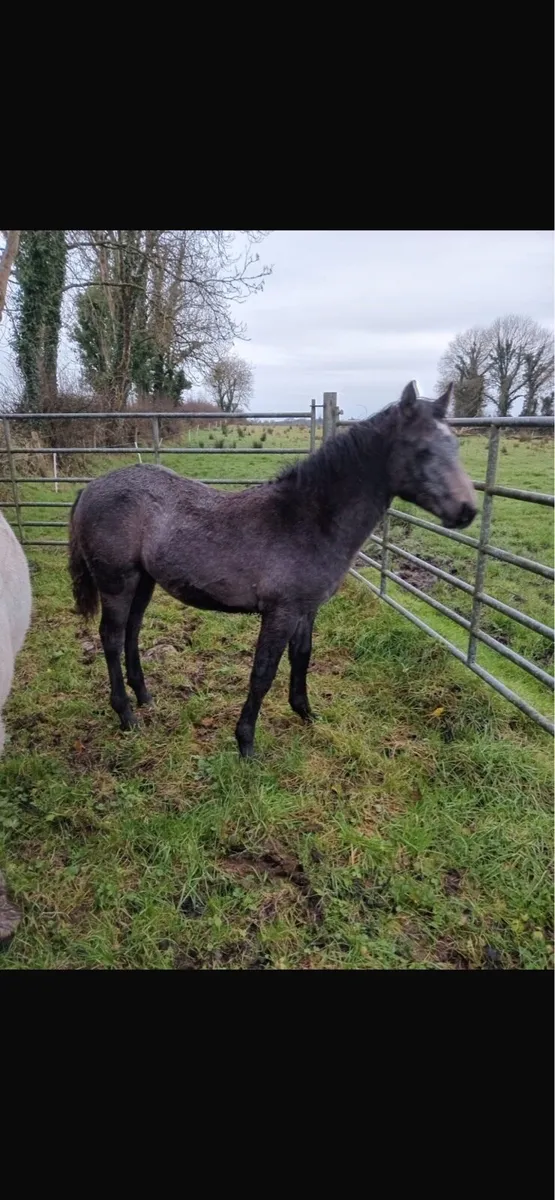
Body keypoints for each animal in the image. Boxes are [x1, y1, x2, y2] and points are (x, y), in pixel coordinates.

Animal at [69, 381, 477, 758]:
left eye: (456, 447)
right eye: (422, 450)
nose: (467, 511)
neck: (307, 519)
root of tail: (90, 488)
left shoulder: (306, 610)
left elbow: (302, 658)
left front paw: (307, 714)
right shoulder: (280, 613)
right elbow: (263, 673)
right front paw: (246, 743)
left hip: (143, 582)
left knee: (132, 632)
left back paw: (145, 697)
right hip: (117, 582)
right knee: (111, 638)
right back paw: (126, 715)